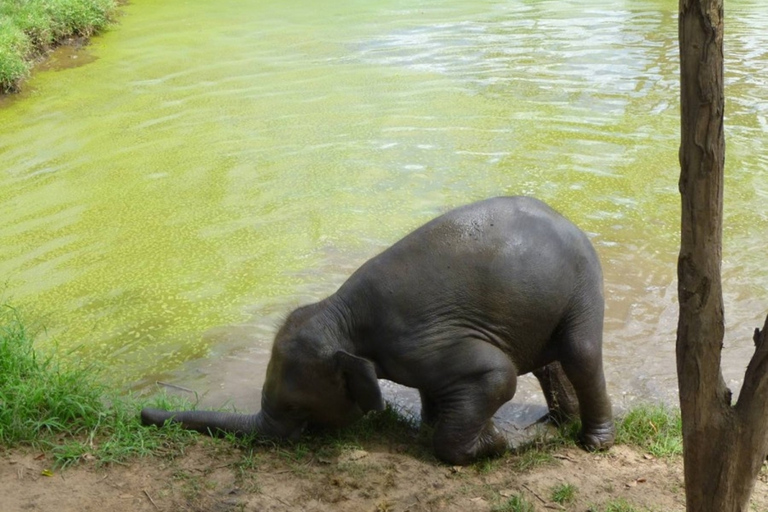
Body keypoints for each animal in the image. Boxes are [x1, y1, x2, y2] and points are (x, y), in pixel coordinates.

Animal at [141, 195, 616, 464]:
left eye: (296, 407)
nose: (143, 414)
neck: (340, 313)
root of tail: (568, 218)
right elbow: (440, 387)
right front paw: (440, 426)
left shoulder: (419, 341)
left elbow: (496, 375)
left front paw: (496, 444)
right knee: (550, 363)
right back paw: (556, 423)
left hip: (584, 285)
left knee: (580, 353)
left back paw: (593, 444)